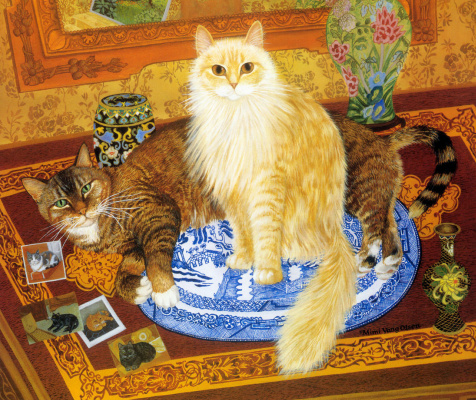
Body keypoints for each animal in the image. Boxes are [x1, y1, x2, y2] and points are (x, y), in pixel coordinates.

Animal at [22, 119, 223, 308]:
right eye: (61, 203)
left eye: (86, 188)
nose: (82, 211)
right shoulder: (128, 246)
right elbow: (132, 263)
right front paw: (133, 288)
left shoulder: (159, 211)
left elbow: (156, 256)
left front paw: (163, 289)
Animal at [186, 21, 456, 374]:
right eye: (218, 70)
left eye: (247, 67)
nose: (232, 83)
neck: (234, 118)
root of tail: (384, 141)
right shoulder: (232, 191)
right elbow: (243, 231)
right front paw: (243, 258)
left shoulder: (266, 186)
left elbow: (265, 232)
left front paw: (266, 272)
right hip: (376, 197)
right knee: (390, 229)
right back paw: (385, 266)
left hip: (358, 197)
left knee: (374, 232)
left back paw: (365, 262)